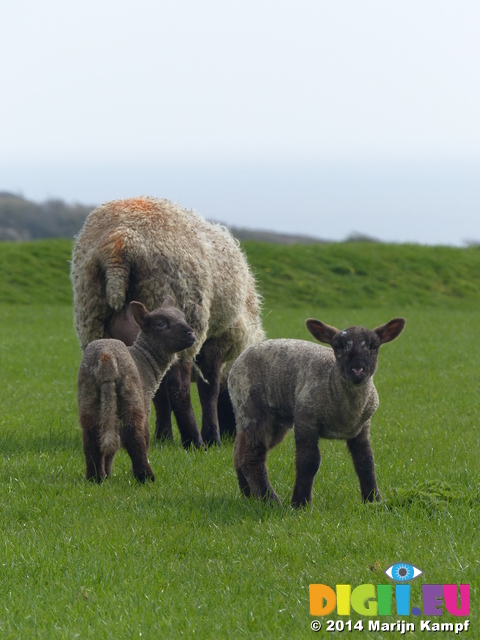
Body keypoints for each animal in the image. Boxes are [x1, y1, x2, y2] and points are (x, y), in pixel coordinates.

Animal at [71, 198, 264, 448]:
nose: (233, 434)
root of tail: (118, 242)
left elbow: (159, 392)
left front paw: (163, 437)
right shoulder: (218, 341)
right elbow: (208, 390)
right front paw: (212, 438)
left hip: (93, 322)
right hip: (183, 319)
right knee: (178, 388)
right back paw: (194, 442)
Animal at [77, 298, 195, 482]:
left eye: (183, 317)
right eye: (160, 324)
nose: (191, 334)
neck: (145, 359)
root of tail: (106, 358)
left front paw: (107, 473)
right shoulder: (145, 401)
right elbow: (142, 436)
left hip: (88, 393)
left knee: (92, 434)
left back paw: (95, 477)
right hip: (131, 393)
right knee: (133, 434)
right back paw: (145, 476)